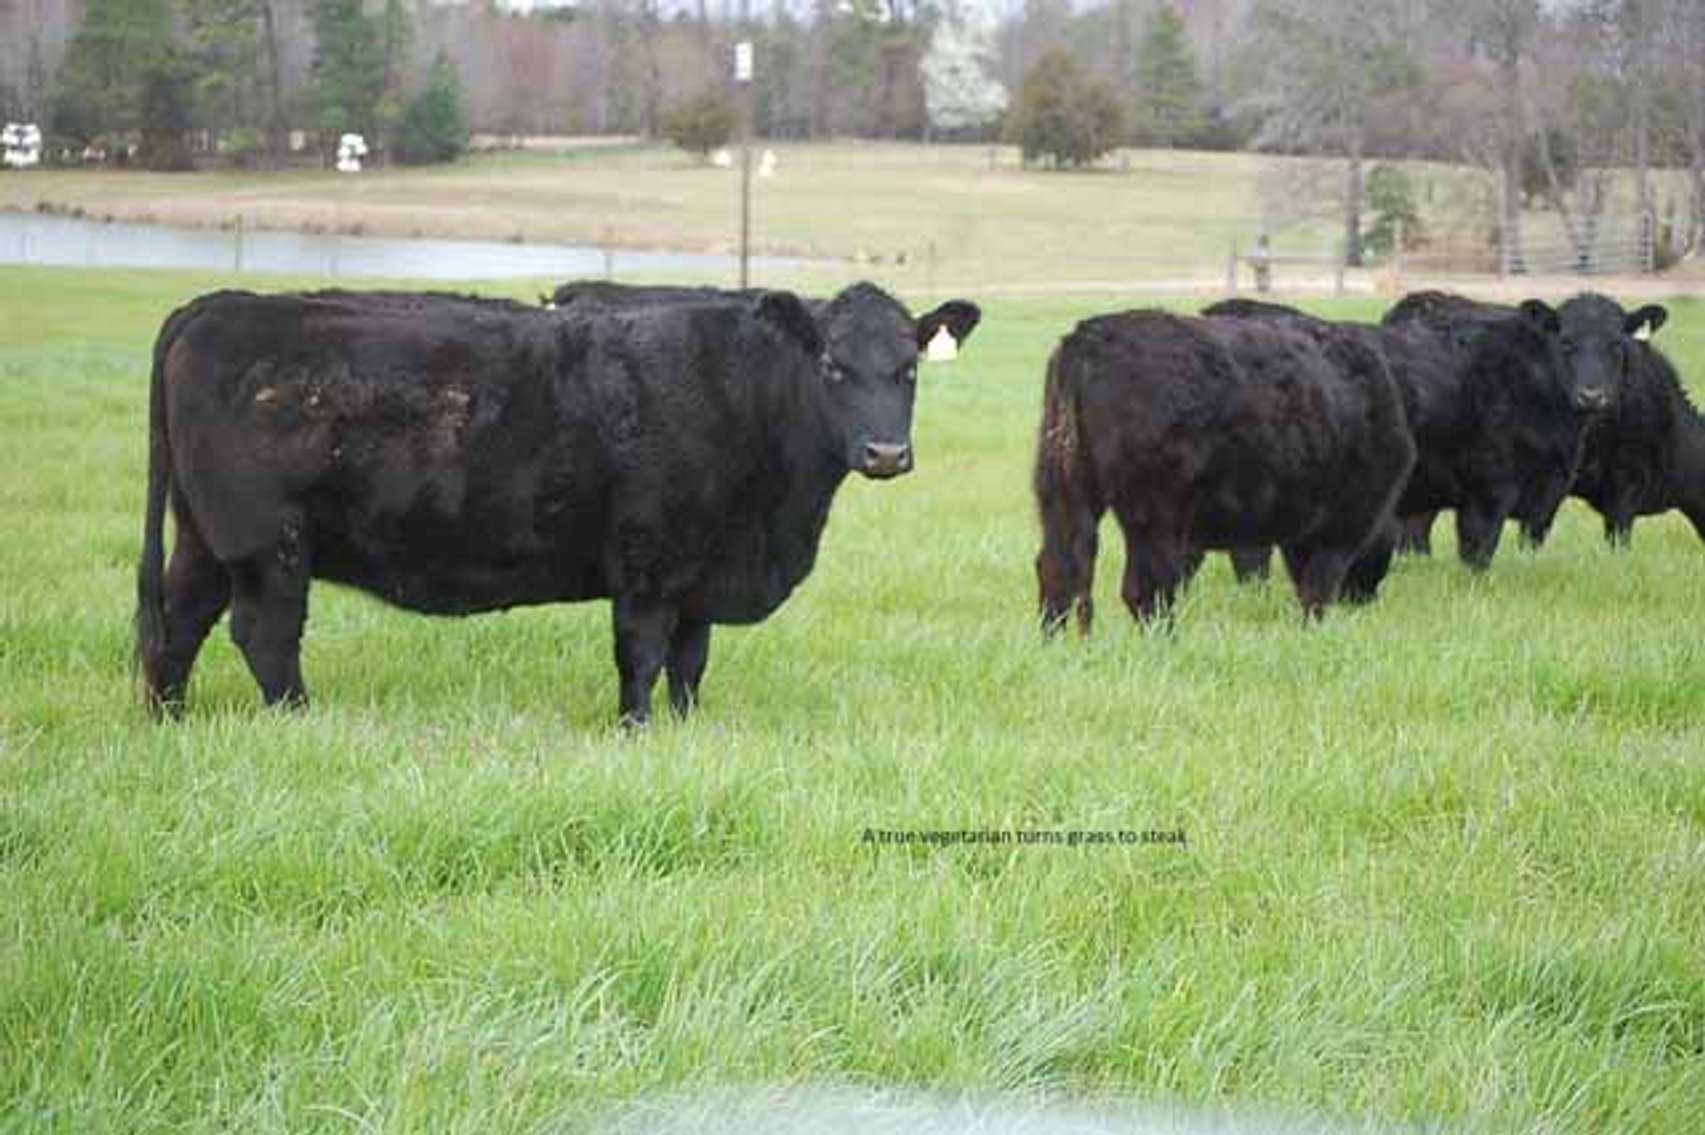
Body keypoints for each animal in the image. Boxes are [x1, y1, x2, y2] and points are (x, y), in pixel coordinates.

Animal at [135, 283, 981, 725]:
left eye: (909, 368)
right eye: (832, 365)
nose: (885, 453)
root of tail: (220, 304)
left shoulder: (703, 571)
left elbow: (690, 661)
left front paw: (685, 728)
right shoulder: (647, 560)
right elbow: (641, 654)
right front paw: (636, 730)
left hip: (205, 537)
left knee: (178, 623)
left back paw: (168, 718)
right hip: (265, 541)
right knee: (264, 634)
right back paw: (299, 719)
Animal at [1033, 310, 1415, 631]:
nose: (1367, 600)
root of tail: (1089, 337)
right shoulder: (1341, 528)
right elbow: (1317, 590)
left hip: (1063, 494)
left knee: (1058, 571)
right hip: (1154, 516)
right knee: (1145, 589)